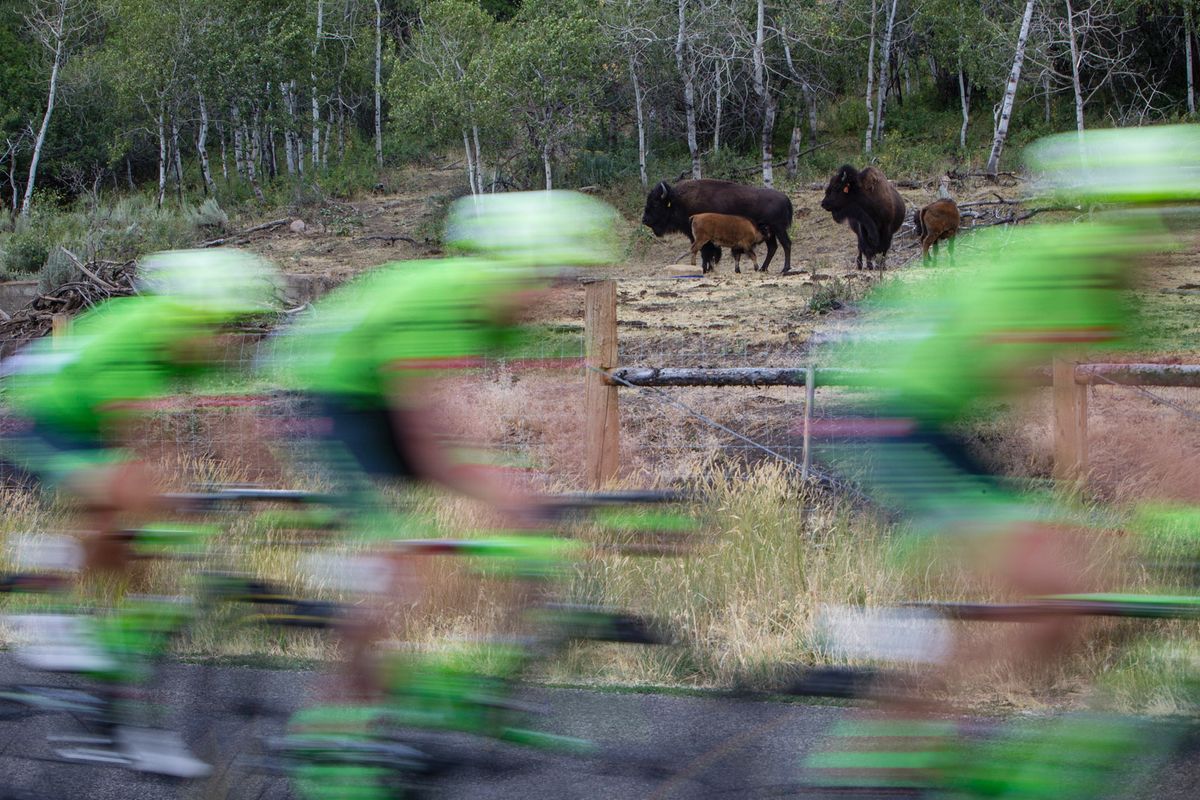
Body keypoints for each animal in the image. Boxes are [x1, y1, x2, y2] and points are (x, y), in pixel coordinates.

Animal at [642, 179, 795, 273]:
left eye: (655, 203)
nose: (644, 220)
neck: (678, 201)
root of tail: (786, 198)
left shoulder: (705, 237)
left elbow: (707, 252)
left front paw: (706, 269)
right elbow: (706, 252)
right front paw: (708, 268)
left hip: (779, 229)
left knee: (786, 244)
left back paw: (785, 268)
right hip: (770, 232)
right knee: (773, 247)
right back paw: (763, 268)